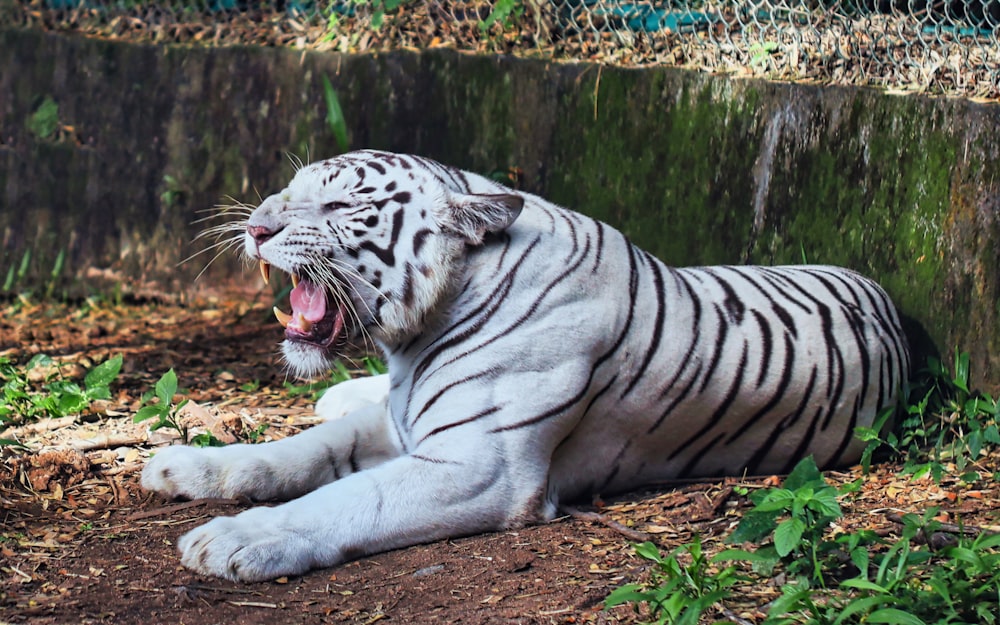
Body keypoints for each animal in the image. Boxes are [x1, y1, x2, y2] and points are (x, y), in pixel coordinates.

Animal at [143, 149, 916, 576]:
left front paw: (235, 538)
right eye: (289, 189)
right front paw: (186, 467)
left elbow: (343, 499)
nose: (254, 227)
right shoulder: (398, 422)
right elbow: (292, 453)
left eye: (338, 202)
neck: (419, 332)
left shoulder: (477, 466)